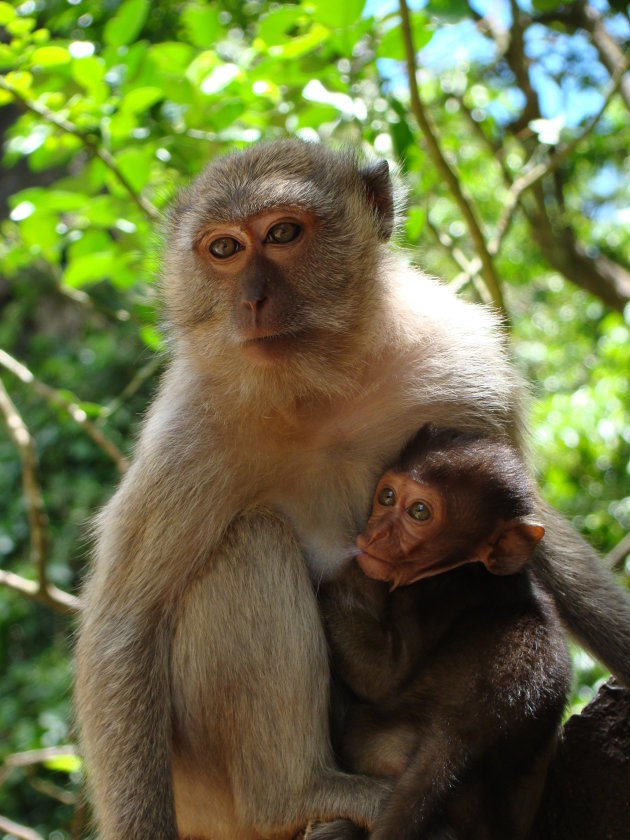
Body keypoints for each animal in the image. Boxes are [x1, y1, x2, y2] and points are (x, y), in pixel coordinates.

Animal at [316, 426, 572, 840]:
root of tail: (457, 739)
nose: (375, 534)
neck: (465, 567)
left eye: (419, 512)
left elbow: (382, 675)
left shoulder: (429, 595)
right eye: (387, 496)